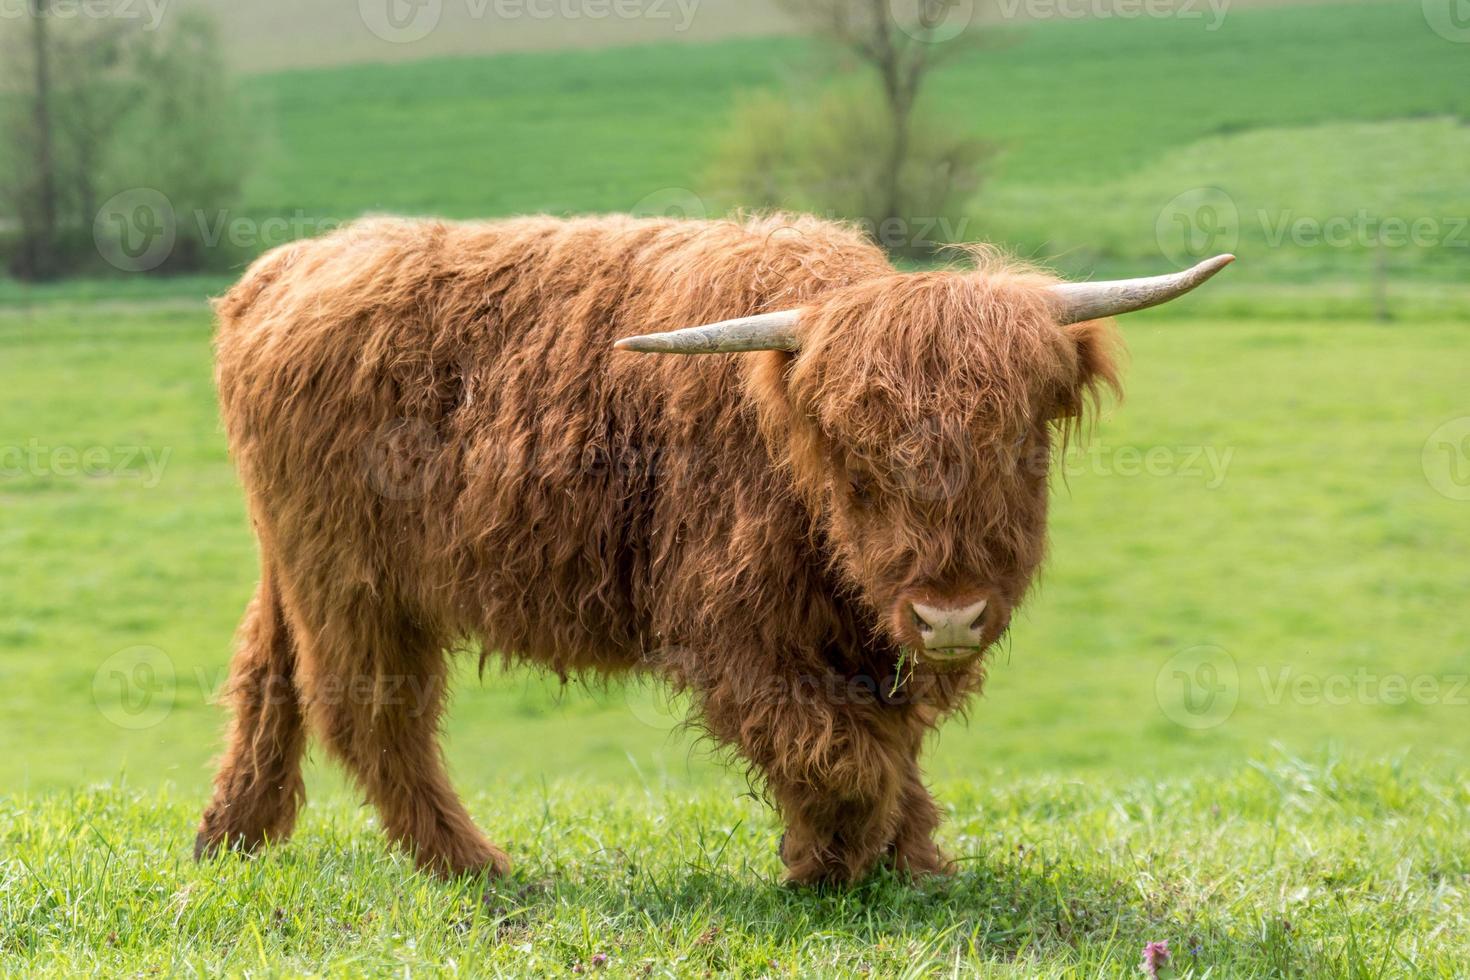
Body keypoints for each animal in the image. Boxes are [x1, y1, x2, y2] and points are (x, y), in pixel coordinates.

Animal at [198, 215, 1228, 887]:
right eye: (857, 455)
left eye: (1016, 440)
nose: (950, 615)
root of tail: (283, 269)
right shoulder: (730, 621)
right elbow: (835, 748)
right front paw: (827, 864)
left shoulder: (864, 634)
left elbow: (888, 739)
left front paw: (912, 860)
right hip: (353, 578)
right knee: (370, 715)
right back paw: (477, 866)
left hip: (289, 560)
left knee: (266, 673)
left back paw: (232, 839)